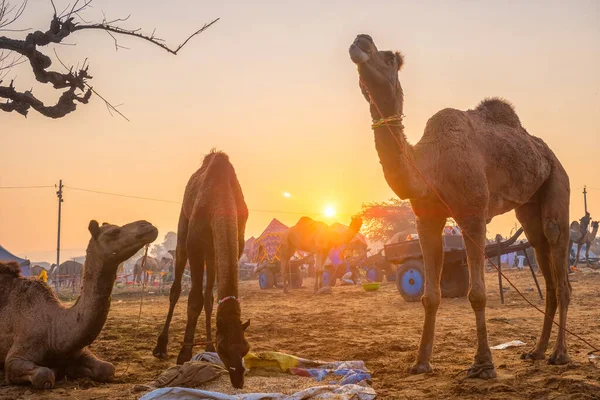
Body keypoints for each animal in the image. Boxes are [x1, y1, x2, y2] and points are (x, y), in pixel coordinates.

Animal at [0, 219, 158, 388]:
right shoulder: (15, 357)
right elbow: (44, 374)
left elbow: (107, 368)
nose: (147, 225)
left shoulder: (77, 350)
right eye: (113, 232)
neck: (52, 328)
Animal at [155, 150, 251, 388]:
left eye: (246, 348)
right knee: (176, 287)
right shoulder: (196, 244)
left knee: (208, 296)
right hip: (183, 227)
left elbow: (208, 297)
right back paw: (160, 347)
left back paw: (206, 346)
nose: (238, 378)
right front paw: (183, 354)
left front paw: (208, 346)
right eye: (224, 349)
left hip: (211, 252)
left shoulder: (234, 243)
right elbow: (194, 299)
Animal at [350, 34, 576, 378]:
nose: (360, 41)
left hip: (557, 182)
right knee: (542, 255)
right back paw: (536, 351)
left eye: (389, 58)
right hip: (529, 206)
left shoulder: (472, 214)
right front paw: (421, 362)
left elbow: (477, 293)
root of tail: (549, 154)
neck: (430, 164)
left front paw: (483, 364)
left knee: (558, 256)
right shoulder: (426, 218)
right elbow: (430, 296)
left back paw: (560, 354)